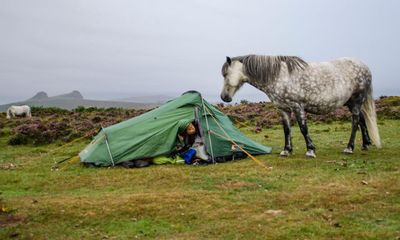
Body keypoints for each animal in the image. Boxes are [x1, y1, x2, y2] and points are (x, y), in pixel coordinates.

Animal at [222, 55, 382, 158]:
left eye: (225, 74)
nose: (224, 97)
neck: (278, 76)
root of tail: (364, 66)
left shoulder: (298, 107)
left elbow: (303, 128)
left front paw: (310, 150)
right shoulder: (283, 109)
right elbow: (287, 130)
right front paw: (286, 151)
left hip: (357, 100)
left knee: (355, 122)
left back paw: (349, 148)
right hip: (351, 103)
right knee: (361, 120)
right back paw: (365, 145)